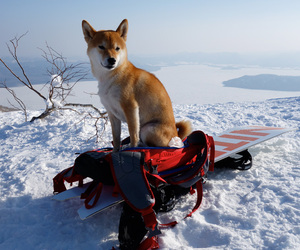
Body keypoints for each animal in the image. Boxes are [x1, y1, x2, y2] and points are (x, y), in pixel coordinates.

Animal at [82, 19, 191, 150]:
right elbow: (116, 138)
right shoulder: (112, 113)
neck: (114, 76)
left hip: (147, 129)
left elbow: (133, 134)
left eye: (117, 48)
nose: (112, 60)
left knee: (154, 144)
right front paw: (115, 151)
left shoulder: (131, 108)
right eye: (101, 47)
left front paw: (132, 149)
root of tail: (177, 136)